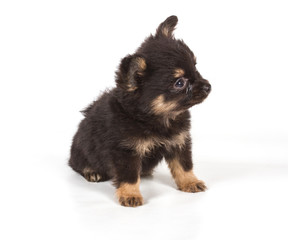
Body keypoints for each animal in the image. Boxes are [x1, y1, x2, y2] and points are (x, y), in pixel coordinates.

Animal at [68, 15, 210, 206]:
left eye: (195, 68)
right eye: (179, 83)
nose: (208, 86)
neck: (157, 118)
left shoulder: (179, 142)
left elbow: (184, 165)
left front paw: (190, 182)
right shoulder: (125, 150)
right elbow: (129, 176)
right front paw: (130, 194)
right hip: (81, 150)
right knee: (78, 164)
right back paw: (92, 172)